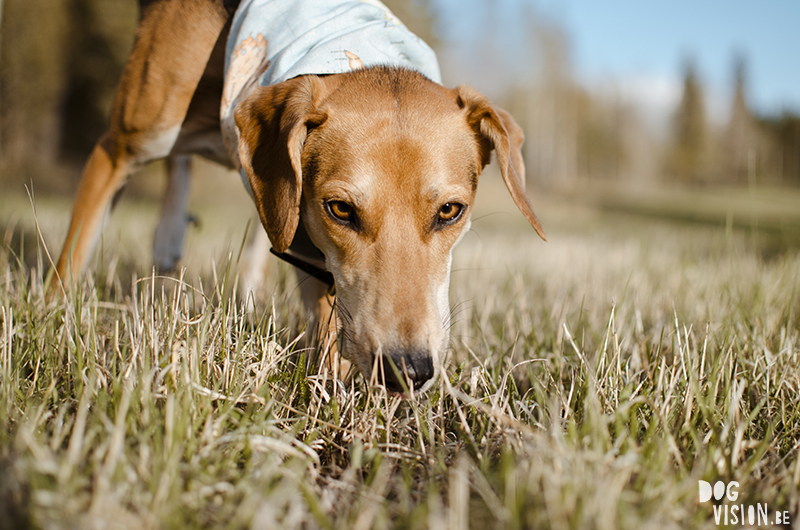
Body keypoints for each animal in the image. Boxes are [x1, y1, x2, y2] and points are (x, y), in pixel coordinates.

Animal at [54, 0, 544, 392]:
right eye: (341, 209)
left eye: (450, 211)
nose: (407, 370)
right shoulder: (115, 151)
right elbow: (71, 259)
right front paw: (54, 320)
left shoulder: (307, 235)